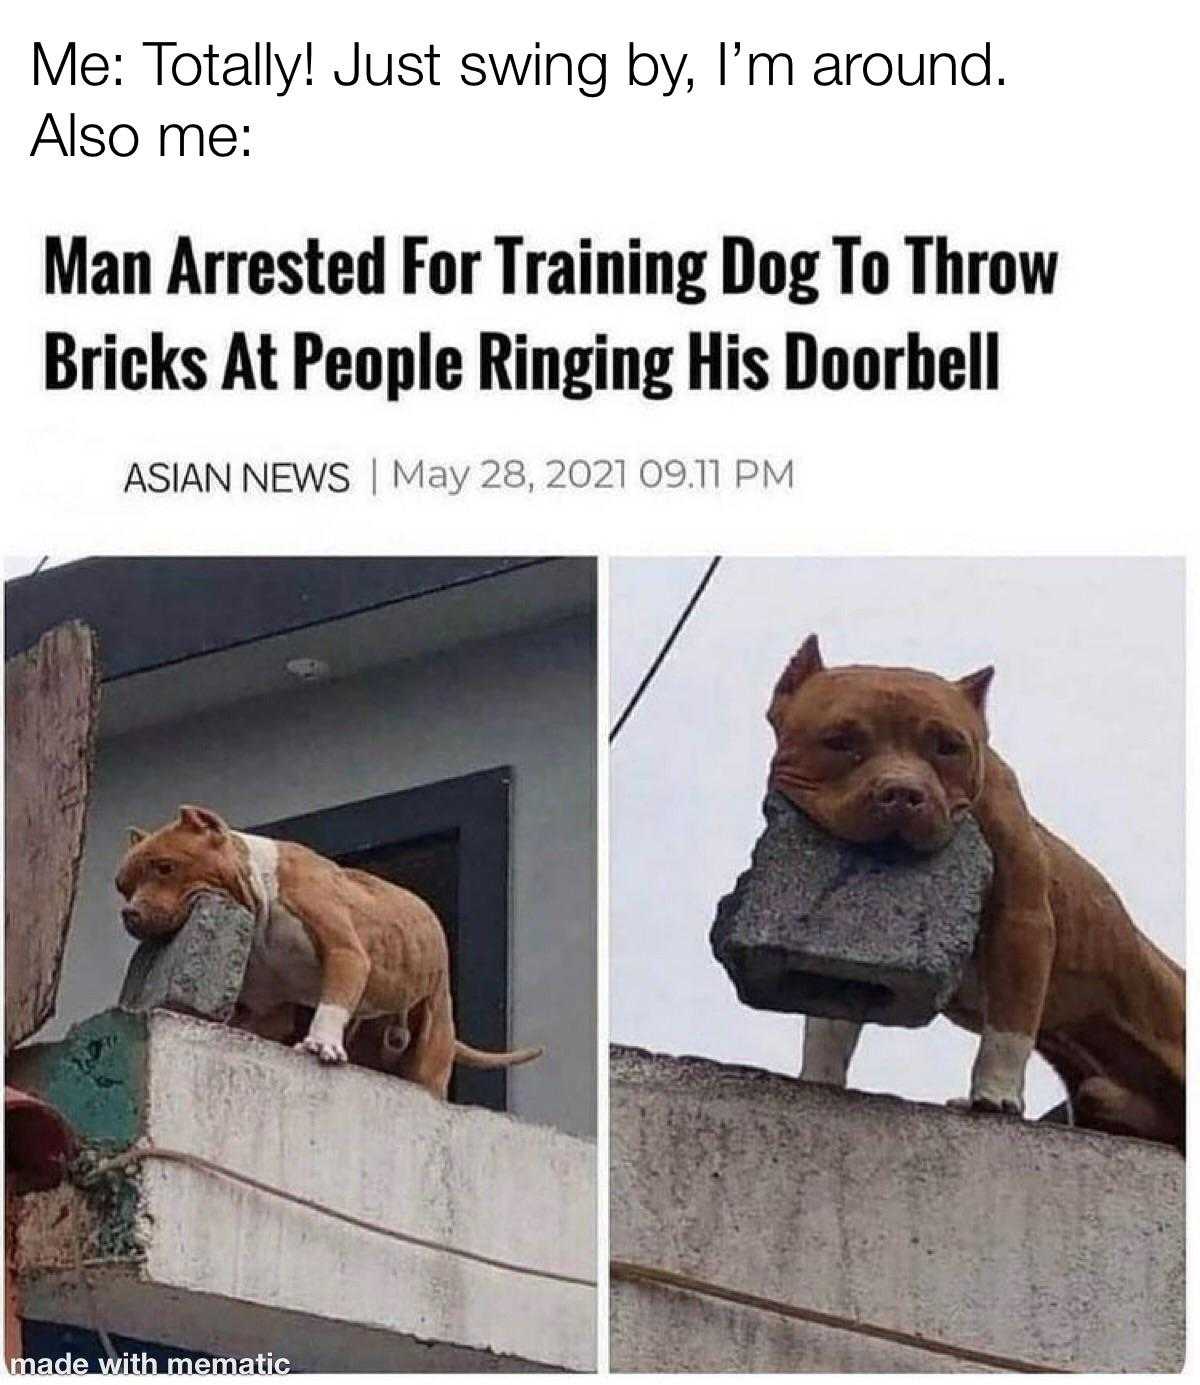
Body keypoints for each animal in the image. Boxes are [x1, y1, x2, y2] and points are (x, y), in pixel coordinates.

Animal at [114, 808, 540, 1096]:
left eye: (165, 867)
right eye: (122, 886)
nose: (130, 913)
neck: (262, 891)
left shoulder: (345, 952)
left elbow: (333, 1000)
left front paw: (322, 1043)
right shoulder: (267, 1008)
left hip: (431, 1037)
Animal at [764, 637, 1180, 1146]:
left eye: (949, 748)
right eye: (840, 742)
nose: (903, 793)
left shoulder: (1022, 921)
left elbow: (1009, 1024)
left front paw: (994, 1097)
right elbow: (829, 1024)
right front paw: (818, 1079)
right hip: (1103, 1093)